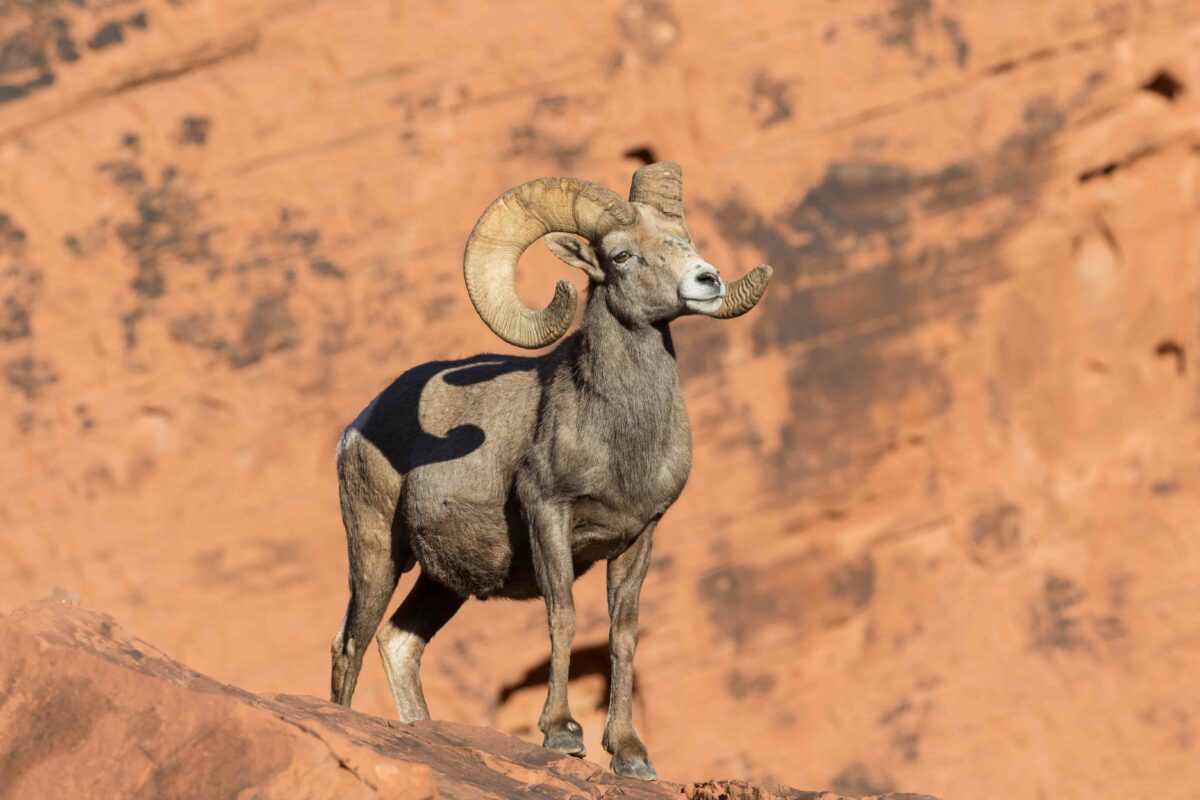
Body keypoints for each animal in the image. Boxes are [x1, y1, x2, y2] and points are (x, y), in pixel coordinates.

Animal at [333, 163, 772, 782]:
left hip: (442, 582)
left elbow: (623, 634)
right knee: (350, 642)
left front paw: (630, 755)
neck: (618, 434)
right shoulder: (549, 516)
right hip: (376, 552)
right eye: (621, 256)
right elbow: (562, 616)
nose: (706, 280)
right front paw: (563, 734)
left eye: (682, 240)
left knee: (399, 642)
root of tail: (360, 423)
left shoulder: (639, 536)